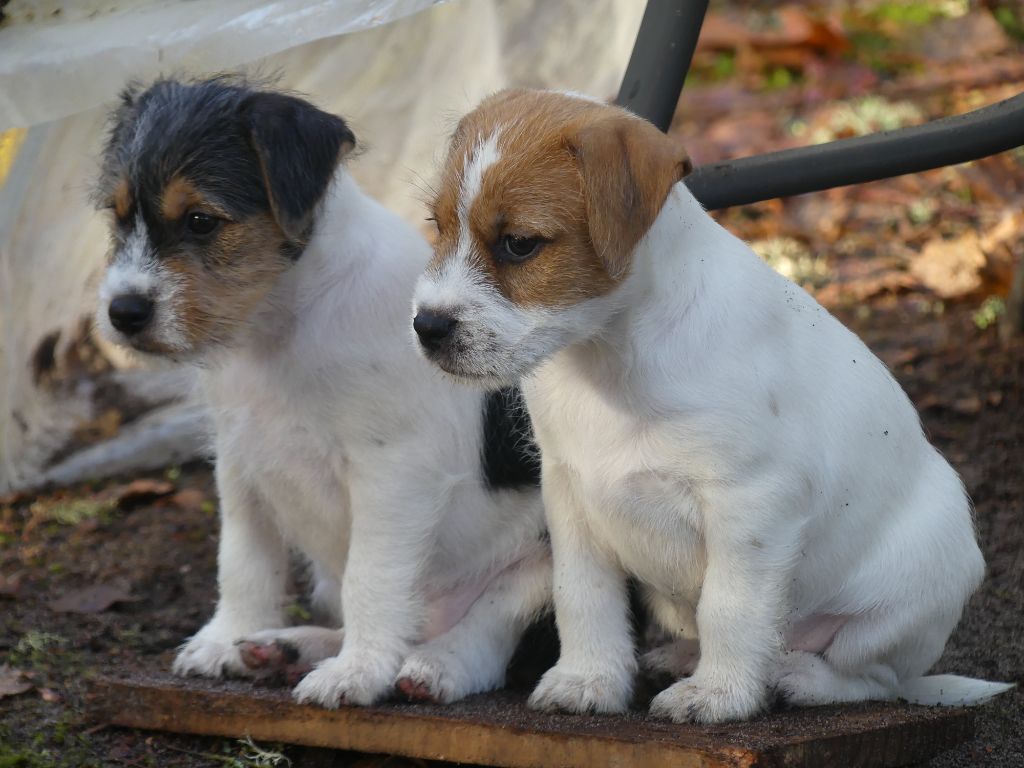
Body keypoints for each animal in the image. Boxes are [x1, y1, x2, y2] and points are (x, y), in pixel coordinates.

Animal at [94, 78, 552, 708]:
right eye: (117, 217)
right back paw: (285, 648)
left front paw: (358, 672)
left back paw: (436, 665)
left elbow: (371, 577)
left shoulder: (393, 473)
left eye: (200, 221)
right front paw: (226, 637)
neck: (280, 327)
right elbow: (243, 560)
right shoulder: (239, 459)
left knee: (499, 624)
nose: (123, 313)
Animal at [411, 88, 1011, 720]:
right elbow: (584, 596)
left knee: (874, 677)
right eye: (437, 224)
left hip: (898, 604)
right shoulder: (569, 494)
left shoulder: (751, 503)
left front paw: (721, 695)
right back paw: (682, 656)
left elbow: (731, 608)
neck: (607, 361)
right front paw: (588, 679)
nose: (427, 327)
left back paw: (800, 676)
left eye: (519, 244)